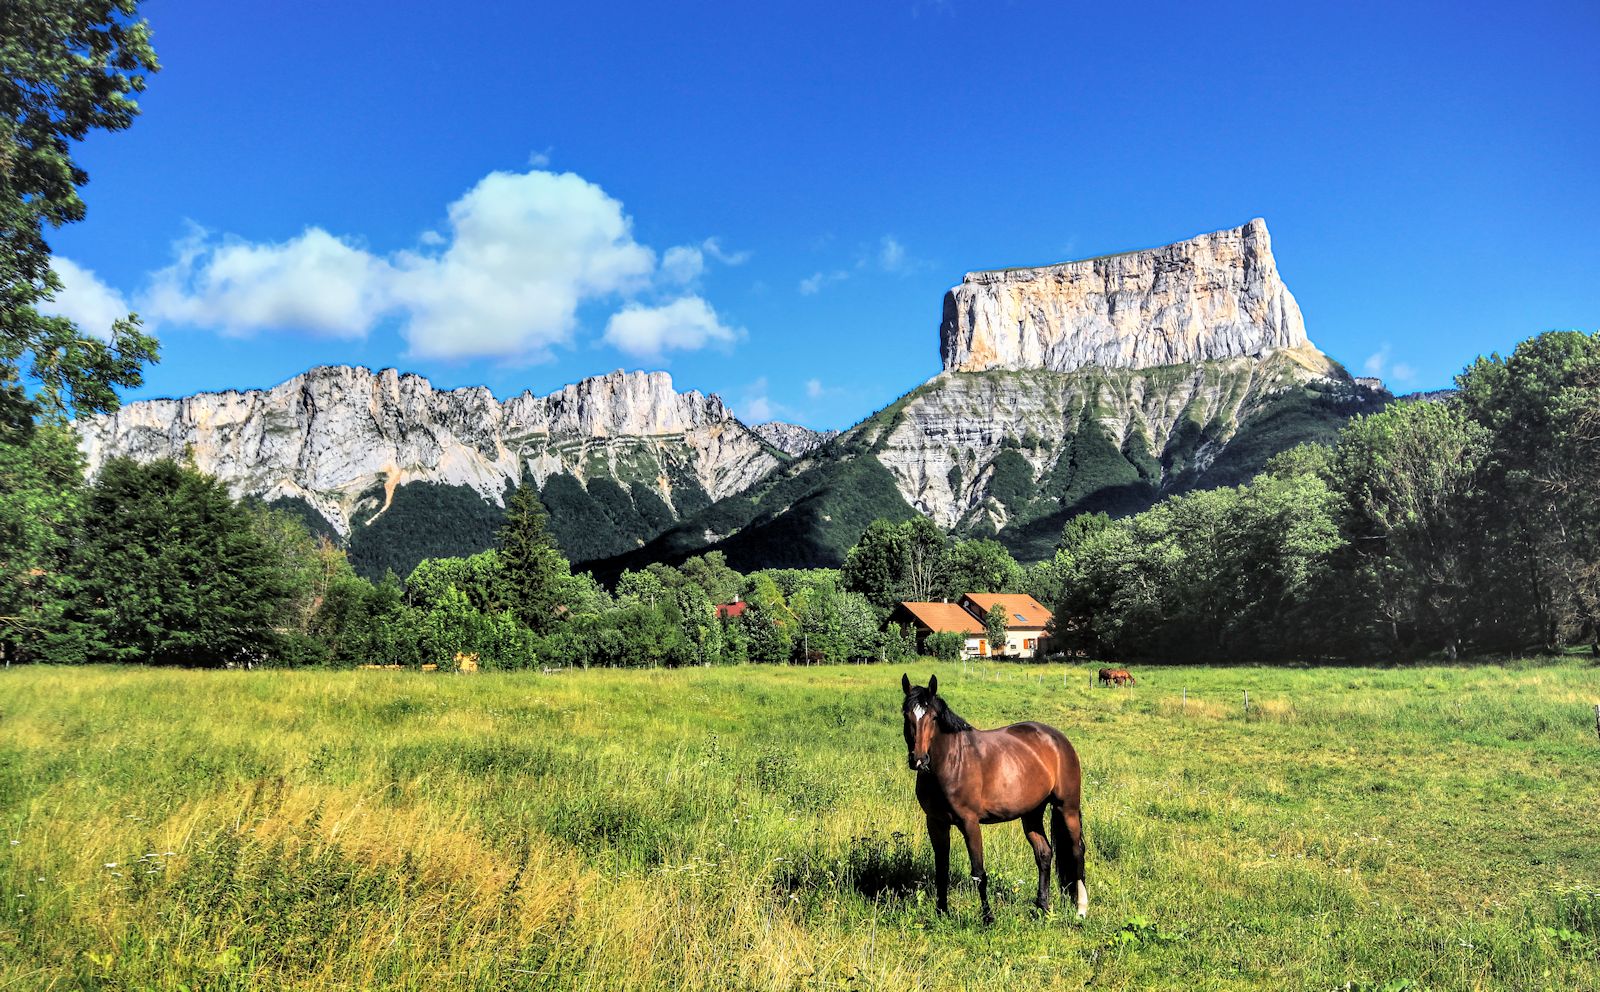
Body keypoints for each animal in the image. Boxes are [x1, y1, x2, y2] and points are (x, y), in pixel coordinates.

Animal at [902, 675, 1088, 921]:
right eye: (906, 715)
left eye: (933, 717)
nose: (919, 760)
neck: (952, 762)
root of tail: (1058, 739)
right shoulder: (935, 822)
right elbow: (941, 868)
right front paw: (941, 912)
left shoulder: (969, 822)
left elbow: (978, 872)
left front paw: (988, 917)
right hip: (1032, 813)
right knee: (1044, 853)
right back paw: (1043, 906)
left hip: (1067, 808)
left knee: (1077, 851)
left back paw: (1081, 909)